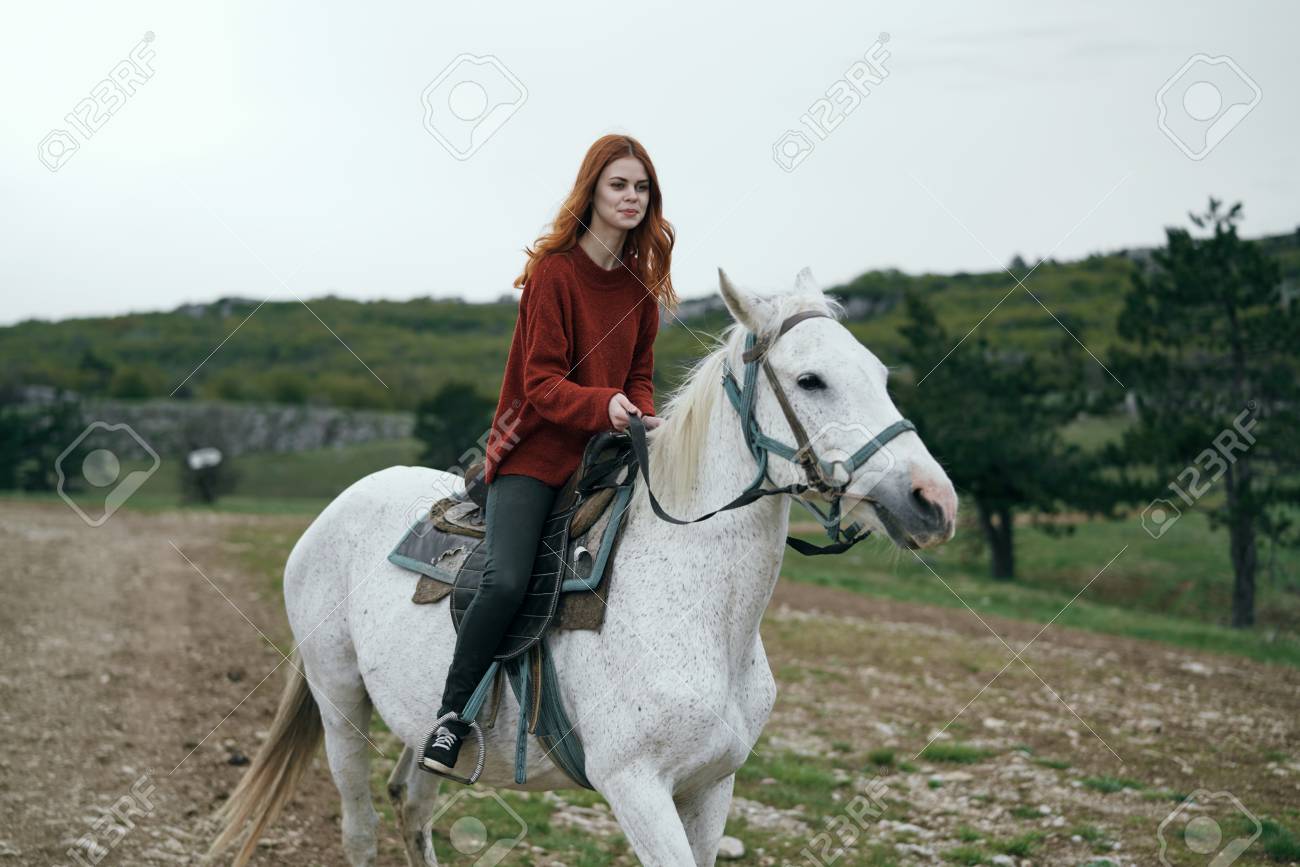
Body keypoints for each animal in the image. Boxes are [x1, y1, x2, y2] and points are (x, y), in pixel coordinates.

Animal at [207, 267, 958, 866]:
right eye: (810, 379)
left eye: (881, 376)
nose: (934, 501)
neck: (707, 617)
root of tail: (337, 508)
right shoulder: (636, 785)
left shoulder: (711, 786)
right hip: (339, 702)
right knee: (360, 828)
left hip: (421, 723)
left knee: (410, 803)